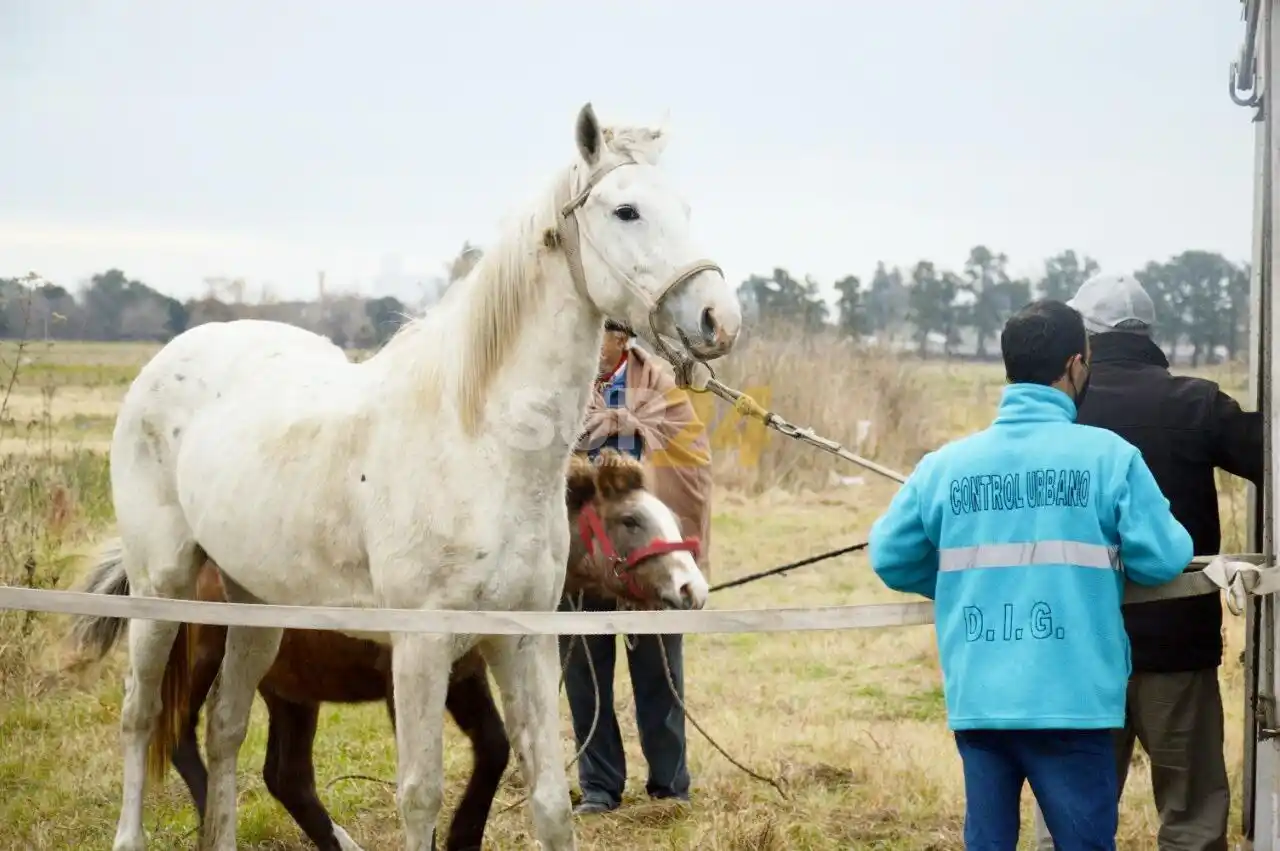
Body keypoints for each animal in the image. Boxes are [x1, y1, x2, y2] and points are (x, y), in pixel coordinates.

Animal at [63, 101, 741, 851]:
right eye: (626, 210)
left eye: (684, 205)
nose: (718, 318)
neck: (479, 446)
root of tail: (170, 359)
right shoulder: (420, 649)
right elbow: (420, 797)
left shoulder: (524, 640)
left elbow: (547, 801)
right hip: (162, 590)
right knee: (141, 715)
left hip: (256, 606)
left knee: (224, 728)